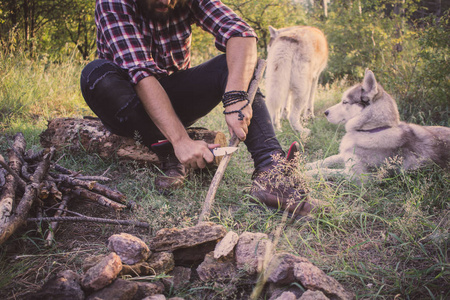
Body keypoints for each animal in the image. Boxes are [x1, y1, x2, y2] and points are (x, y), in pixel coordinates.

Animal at [306, 69, 450, 182]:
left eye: (345, 102)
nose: (325, 112)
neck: (373, 130)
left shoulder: (357, 176)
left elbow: (326, 170)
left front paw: (308, 172)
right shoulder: (344, 156)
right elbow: (327, 160)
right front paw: (307, 164)